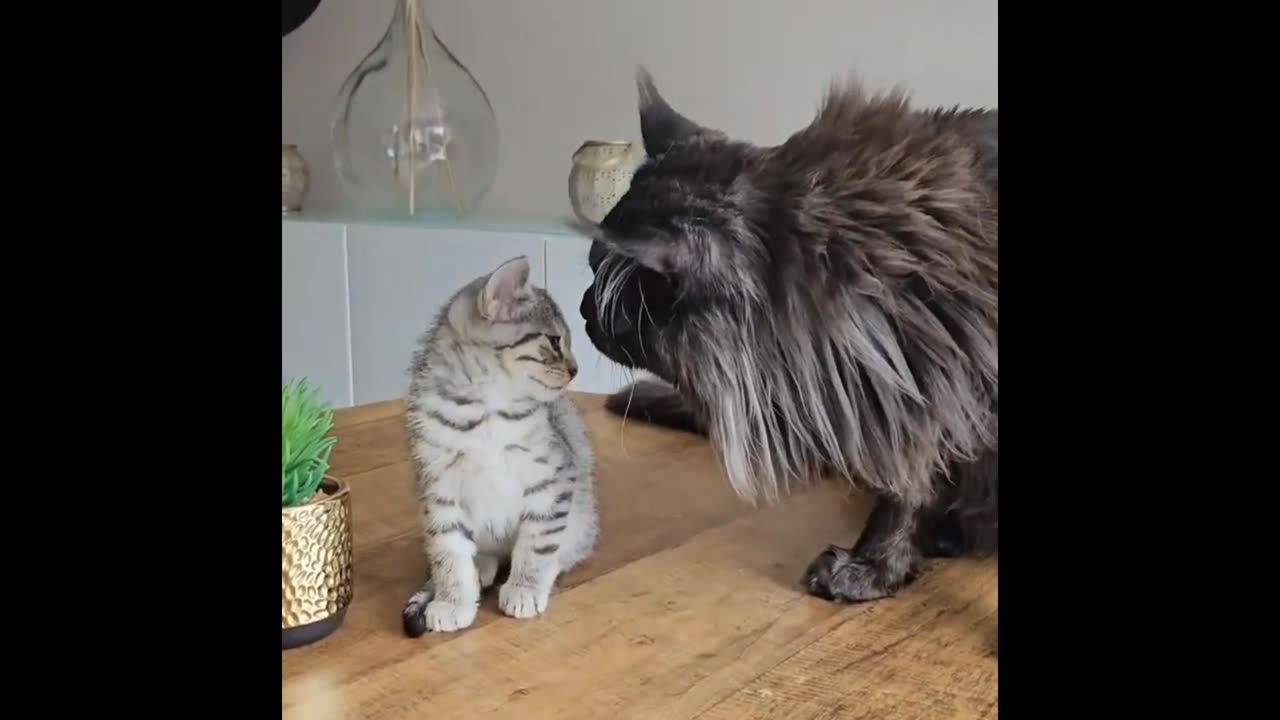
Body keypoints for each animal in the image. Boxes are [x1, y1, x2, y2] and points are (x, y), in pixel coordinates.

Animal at [399, 253, 599, 632]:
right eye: (554, 341)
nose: (576, 370)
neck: (484, 408)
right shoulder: (439, 487)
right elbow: (448, 551)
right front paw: (453, 601)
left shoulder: (554, 477)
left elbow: (537, 542)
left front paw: (526, 587)